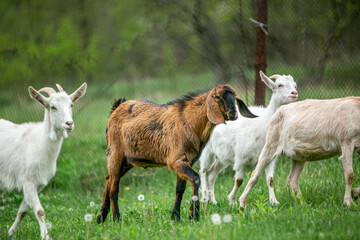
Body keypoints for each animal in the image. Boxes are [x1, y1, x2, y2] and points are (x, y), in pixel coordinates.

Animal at [0, 82, 86, 238]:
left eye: (71, 104)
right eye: (52, 107)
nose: (69, 124)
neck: (39, 142)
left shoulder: (38, 184)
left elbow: (23, 211)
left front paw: (11, 233)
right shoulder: (27, 181)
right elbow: (40, 211)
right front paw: (46, 236)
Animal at [95, 84, 256, 223]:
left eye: (234, 95)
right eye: (217, 97)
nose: (233, 114)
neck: (189, 122)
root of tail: (117, 107)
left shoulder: (186, 161)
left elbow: (180, 189)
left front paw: (175, 217)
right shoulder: (175, 160)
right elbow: (195, 178)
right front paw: (194, 215)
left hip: (127, 161)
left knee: (109, 179)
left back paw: (101, 217)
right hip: (116, 153)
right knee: (114, 187)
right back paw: (116, 218)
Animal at [198, 70, 296, 205]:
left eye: (295, 85)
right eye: (279, 85)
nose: (294, 93)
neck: (262, 123)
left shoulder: (269, 158)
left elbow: (270, 180)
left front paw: (274, 202)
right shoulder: (240, 157)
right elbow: (239, 180)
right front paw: (232, 201)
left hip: (222, 157)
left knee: (211, 174)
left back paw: (212, 201)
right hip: (207, 151)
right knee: (203, 171)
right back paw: (204, 198)